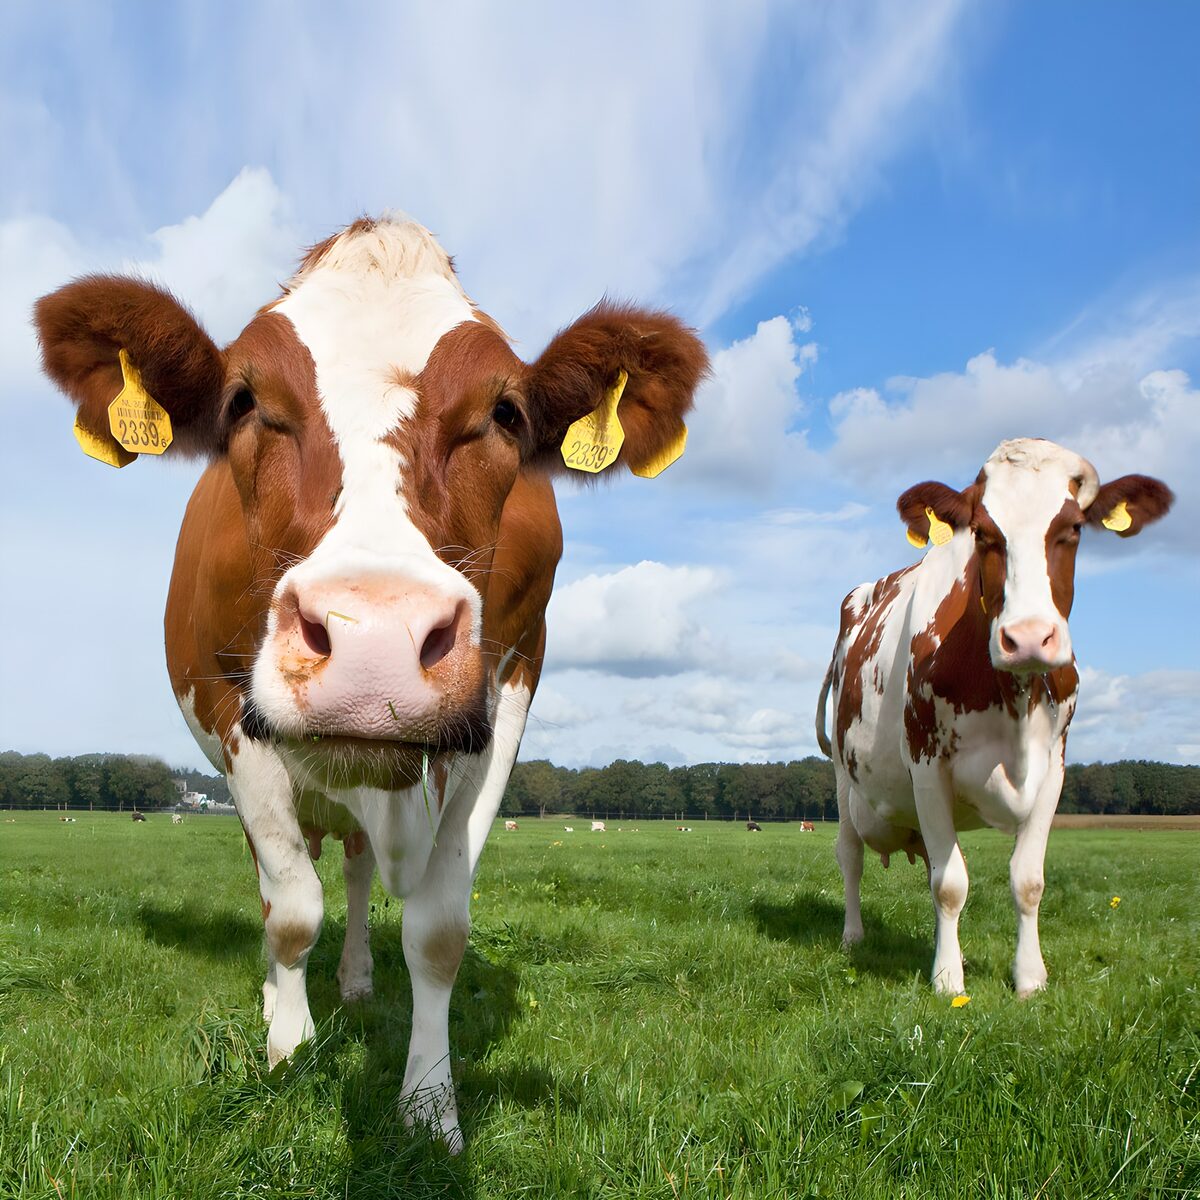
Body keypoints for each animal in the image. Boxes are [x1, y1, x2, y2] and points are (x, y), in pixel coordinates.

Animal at [35, 214, 706, 1149]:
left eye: (505, 412)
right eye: (243, 401)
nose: (374, 644)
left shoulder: (505, 696)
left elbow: (438, 929)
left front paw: (428, 1107)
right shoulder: (231, 708)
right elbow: (288, 908)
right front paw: (287, 1051)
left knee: (352, 869)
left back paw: (353, 981)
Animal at [816, 439, 1172, 998]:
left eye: (1073, 528)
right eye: (983, 531)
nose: (1027, 638)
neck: (1014, 697)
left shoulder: (1054, 769)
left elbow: (1026, 880)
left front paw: (1029, 977)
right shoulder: (926, 766)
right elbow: (950, 884)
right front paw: (947, 980)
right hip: (842, 774)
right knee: (850, 855)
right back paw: (854, 936)